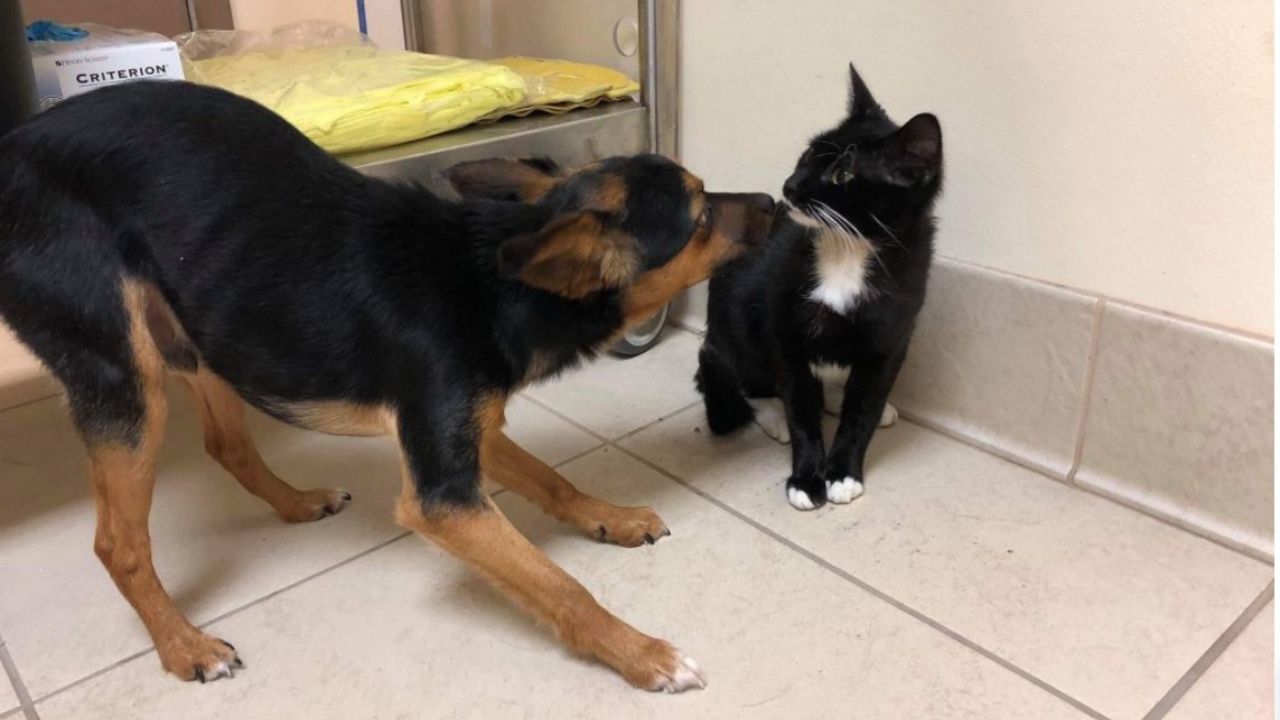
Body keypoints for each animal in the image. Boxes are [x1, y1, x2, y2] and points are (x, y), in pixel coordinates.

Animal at [0, 81, 768, 691]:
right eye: (701, 216)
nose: (772, 197)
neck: (494, 279)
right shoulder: (442, 499)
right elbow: (562, 587)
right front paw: (642, 653)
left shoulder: (467, 427)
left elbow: (553, 479)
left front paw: (612, 515)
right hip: (124, 376)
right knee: (118, 544)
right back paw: (183, 645)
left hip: (198, 334)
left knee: (226, 446)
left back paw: (296, 502)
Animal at [701, 63, 942, 509]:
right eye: (809, 155)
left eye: (843, 174)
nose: (789, 186)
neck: (846, 249)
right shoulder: (785, 328)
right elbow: (800, 405)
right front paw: (806, 477)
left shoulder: (893, 332)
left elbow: (863, 407)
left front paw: (844, 471)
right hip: (735, 320)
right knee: (746, 377)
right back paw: (773, 415)